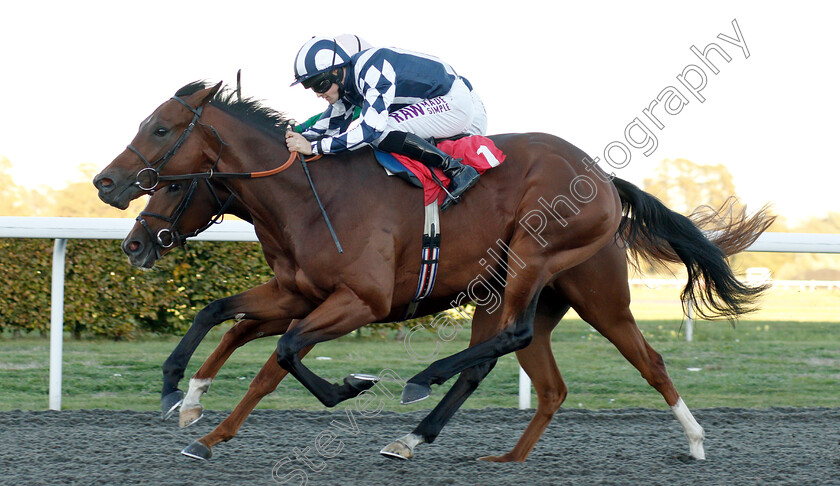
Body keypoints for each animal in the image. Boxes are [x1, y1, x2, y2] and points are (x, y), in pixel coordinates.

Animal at [95, 81, 772, 462]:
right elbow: (227, 322)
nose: (109, 188)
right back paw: (483, 452)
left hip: (562, 274)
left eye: (160, 131)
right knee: (536, 378)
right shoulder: (296, 292)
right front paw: (188, 406)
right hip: (519, 294)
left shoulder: (359, 301)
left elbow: (280, 355)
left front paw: (350, 386)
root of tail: (603, 178)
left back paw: (695, 443)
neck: (308, 196)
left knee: (624, 356)